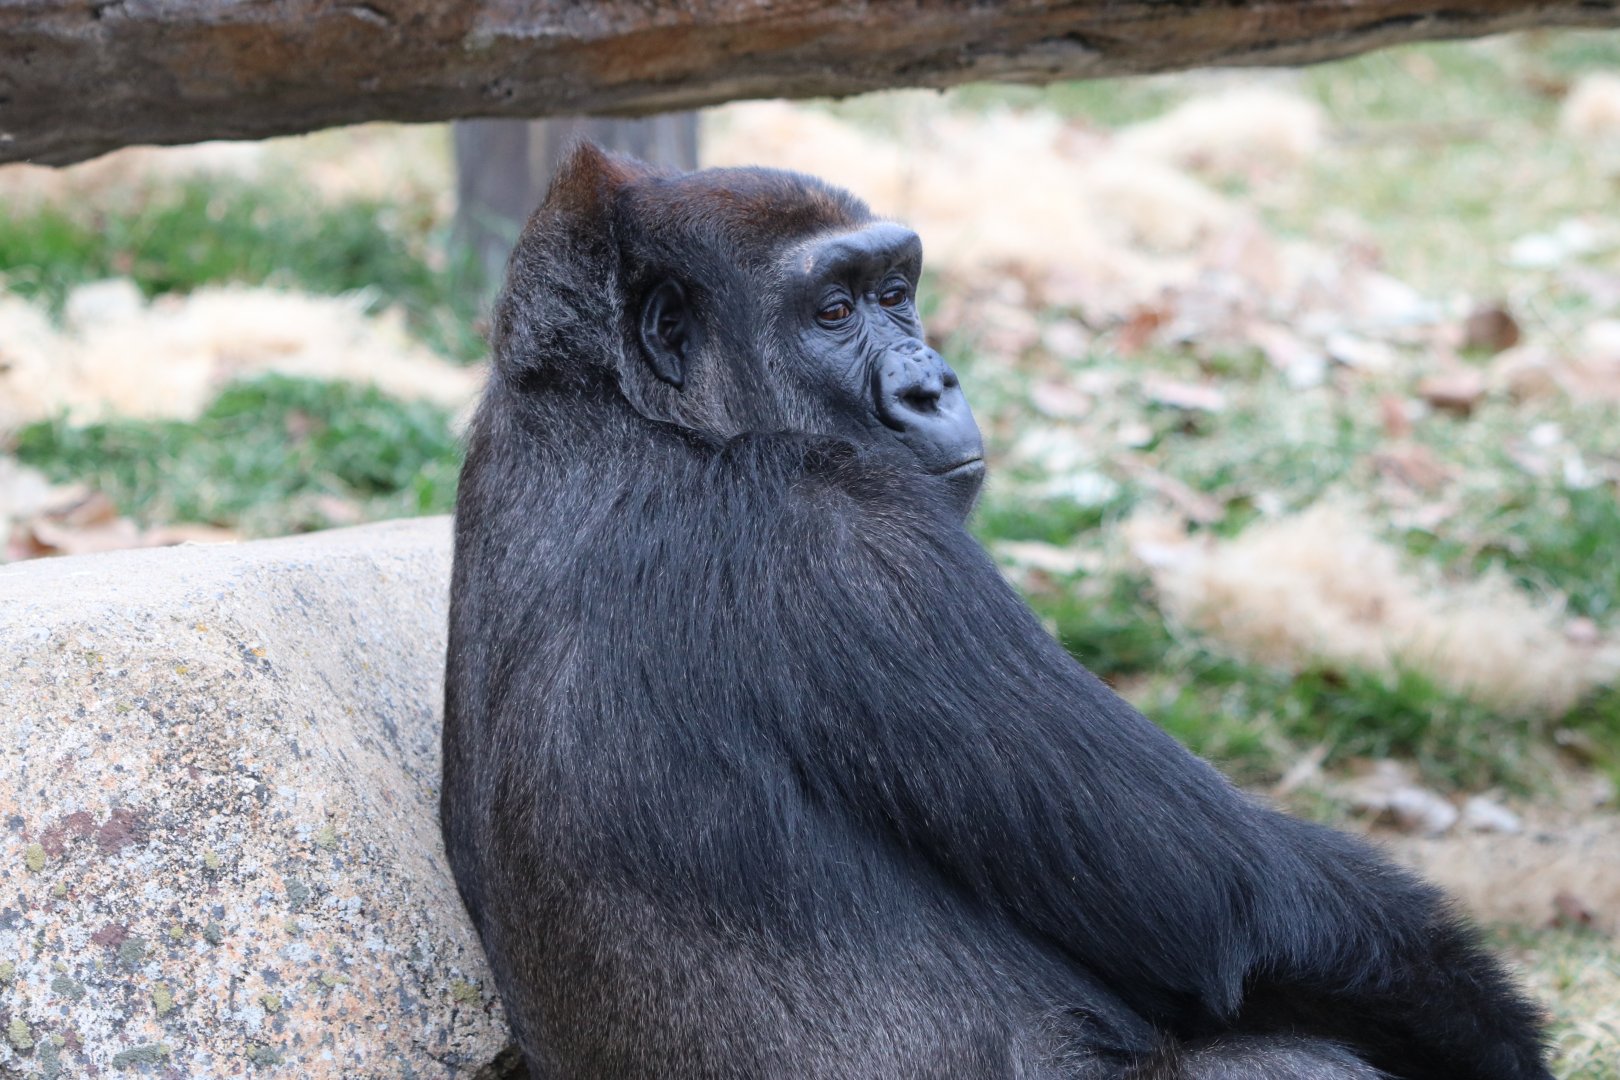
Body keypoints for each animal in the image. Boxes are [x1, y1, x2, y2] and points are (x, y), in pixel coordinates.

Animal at [440, 144, 1551, 1080]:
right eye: (831, 312)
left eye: (895, 293)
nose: (933, 385)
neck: (613, 399)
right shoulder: (859, 536)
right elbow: (1241, 907)